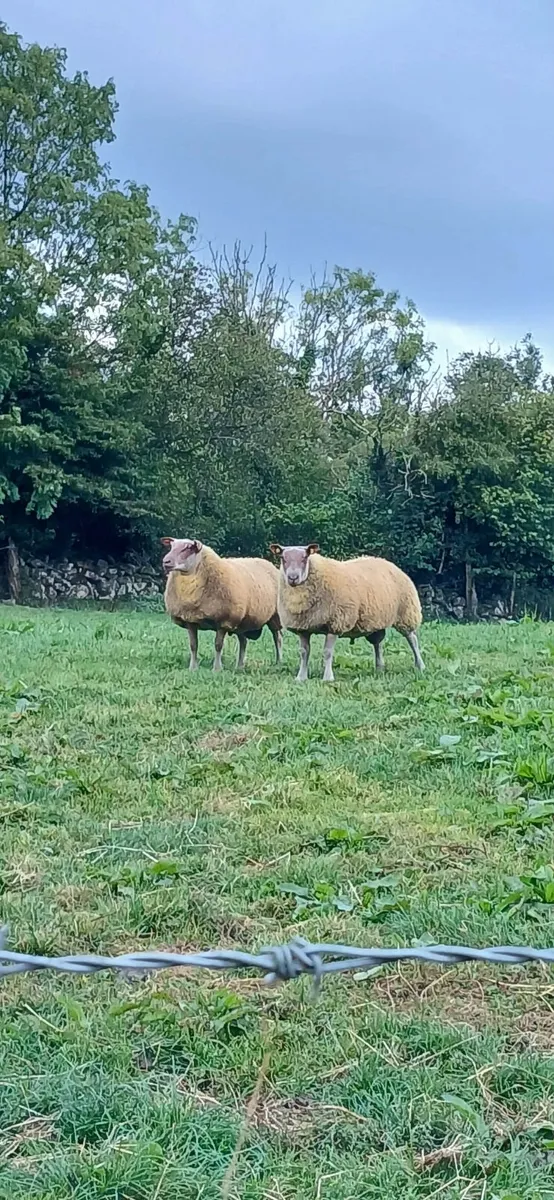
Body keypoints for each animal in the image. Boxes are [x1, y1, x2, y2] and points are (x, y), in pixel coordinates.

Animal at [161, 537, 282, 671]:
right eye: (171, 547)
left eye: (188, 548)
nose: (165, 561)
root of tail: (270, 564)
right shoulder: (190, 620)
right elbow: (193, 645)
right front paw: (193, 668)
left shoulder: (224, 621)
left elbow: (218, 645)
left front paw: (217, 668)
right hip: (241, 622)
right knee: (243, 641)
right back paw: (239, 666)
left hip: (275, 616)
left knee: (277, 638)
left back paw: (279, 662)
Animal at [269, 542, 424, 682]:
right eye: (283, 558)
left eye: (305, 557)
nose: (293, 578)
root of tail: (386, 562)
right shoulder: (303, 627)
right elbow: (303, 652)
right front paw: (301, 677)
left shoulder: (335, 623)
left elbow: (327, 652)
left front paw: (328, 678)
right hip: (376, 620)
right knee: (378, 643)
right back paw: (379, 667)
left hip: (406, 613)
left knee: (412, 639)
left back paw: (420, 665)